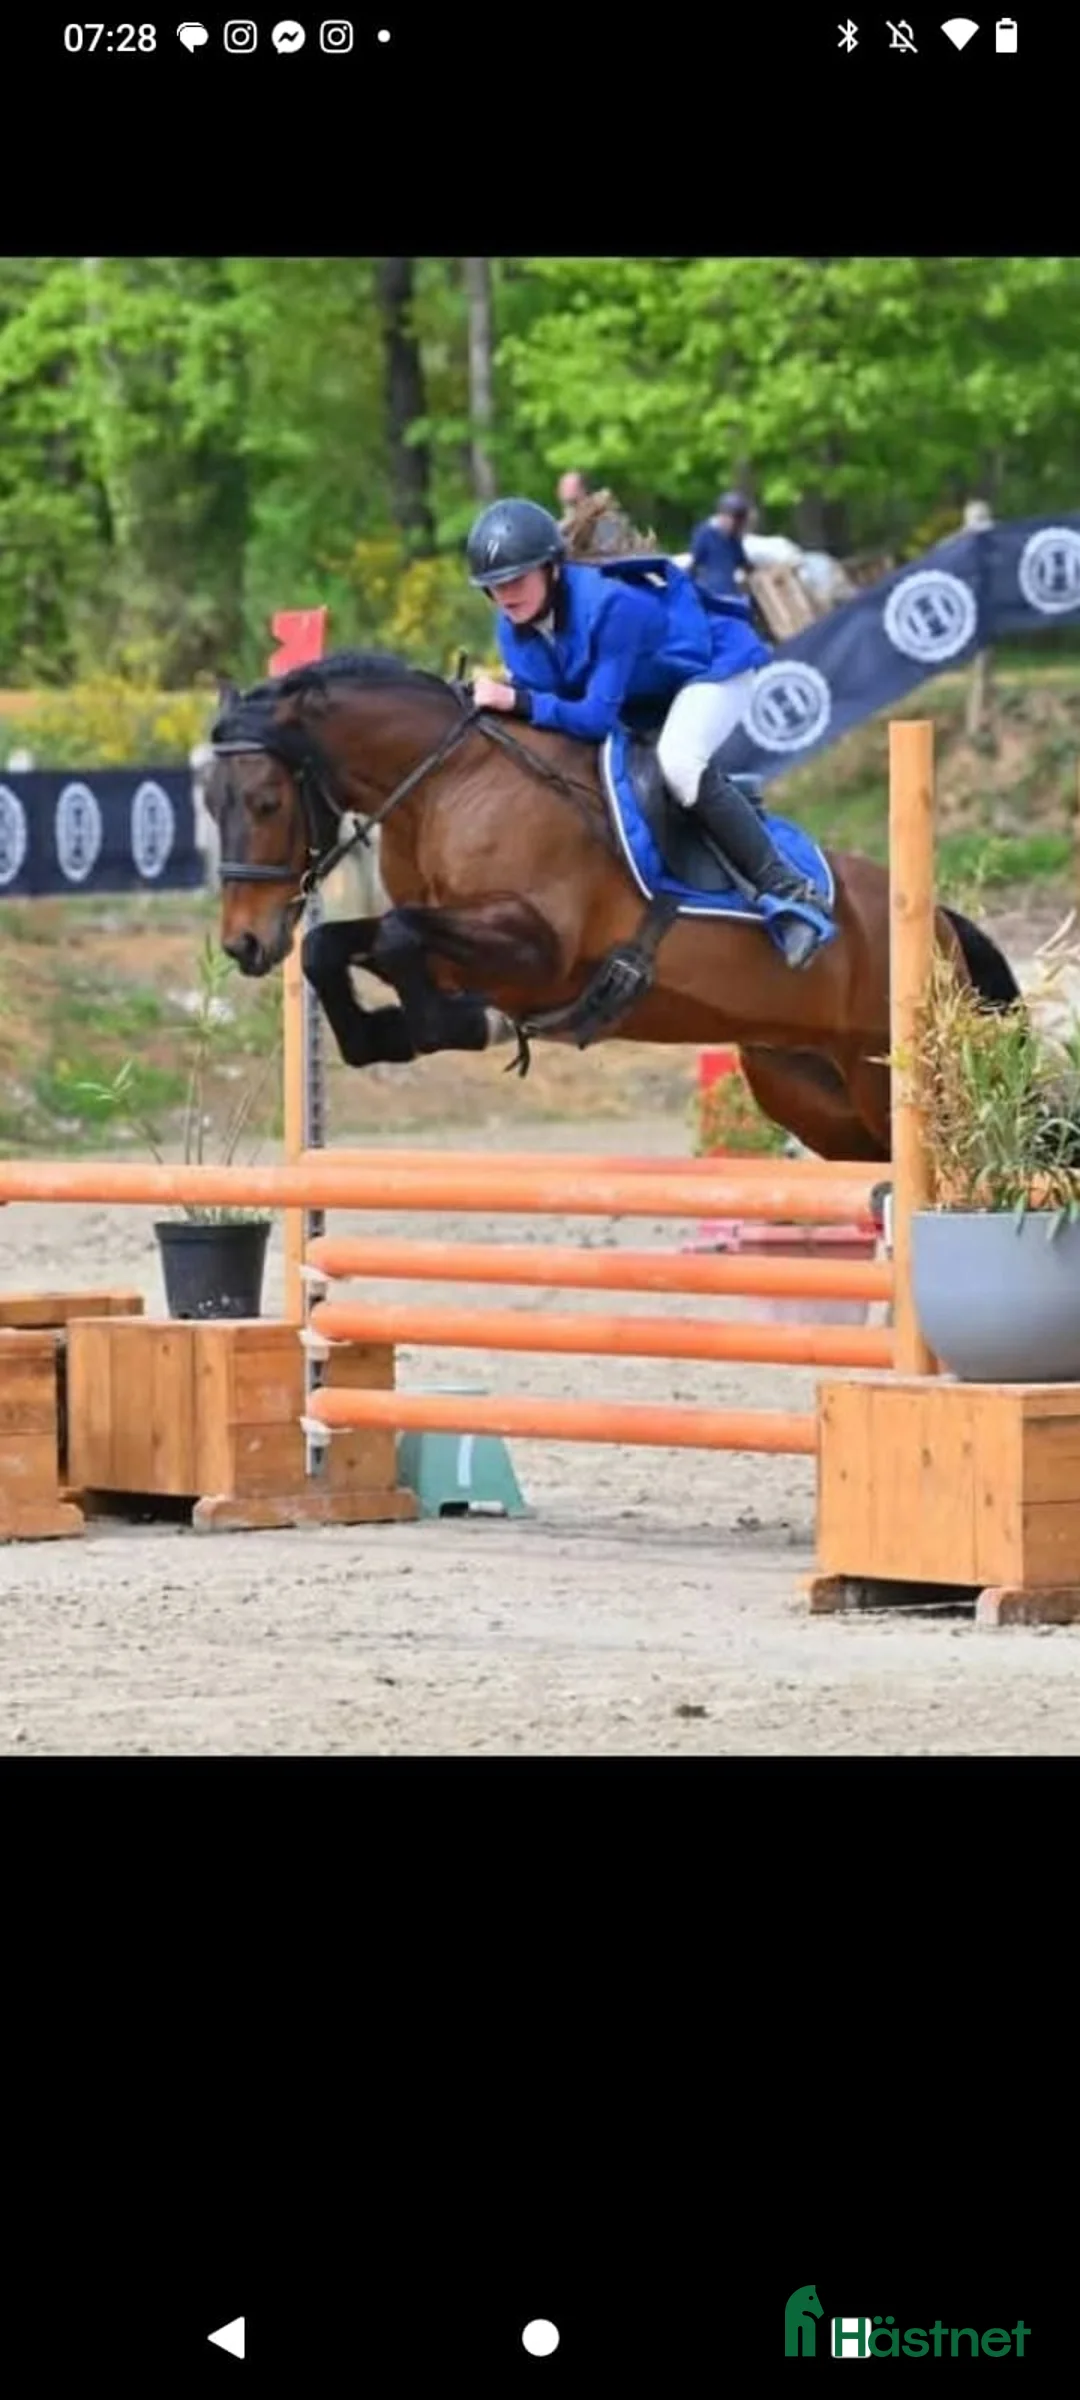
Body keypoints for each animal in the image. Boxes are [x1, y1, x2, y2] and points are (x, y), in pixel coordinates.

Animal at [204, 647, 1022, 1165]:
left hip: (893, 1077)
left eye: (267, 801)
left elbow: (402, 936)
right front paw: (383, 1036)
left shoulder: (537, 949)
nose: (243, 943)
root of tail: (939, 922)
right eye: (210, 806)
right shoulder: (463, 946)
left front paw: (460, 1025)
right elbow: (334, 946)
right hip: (809, 1087)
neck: (449, 783)